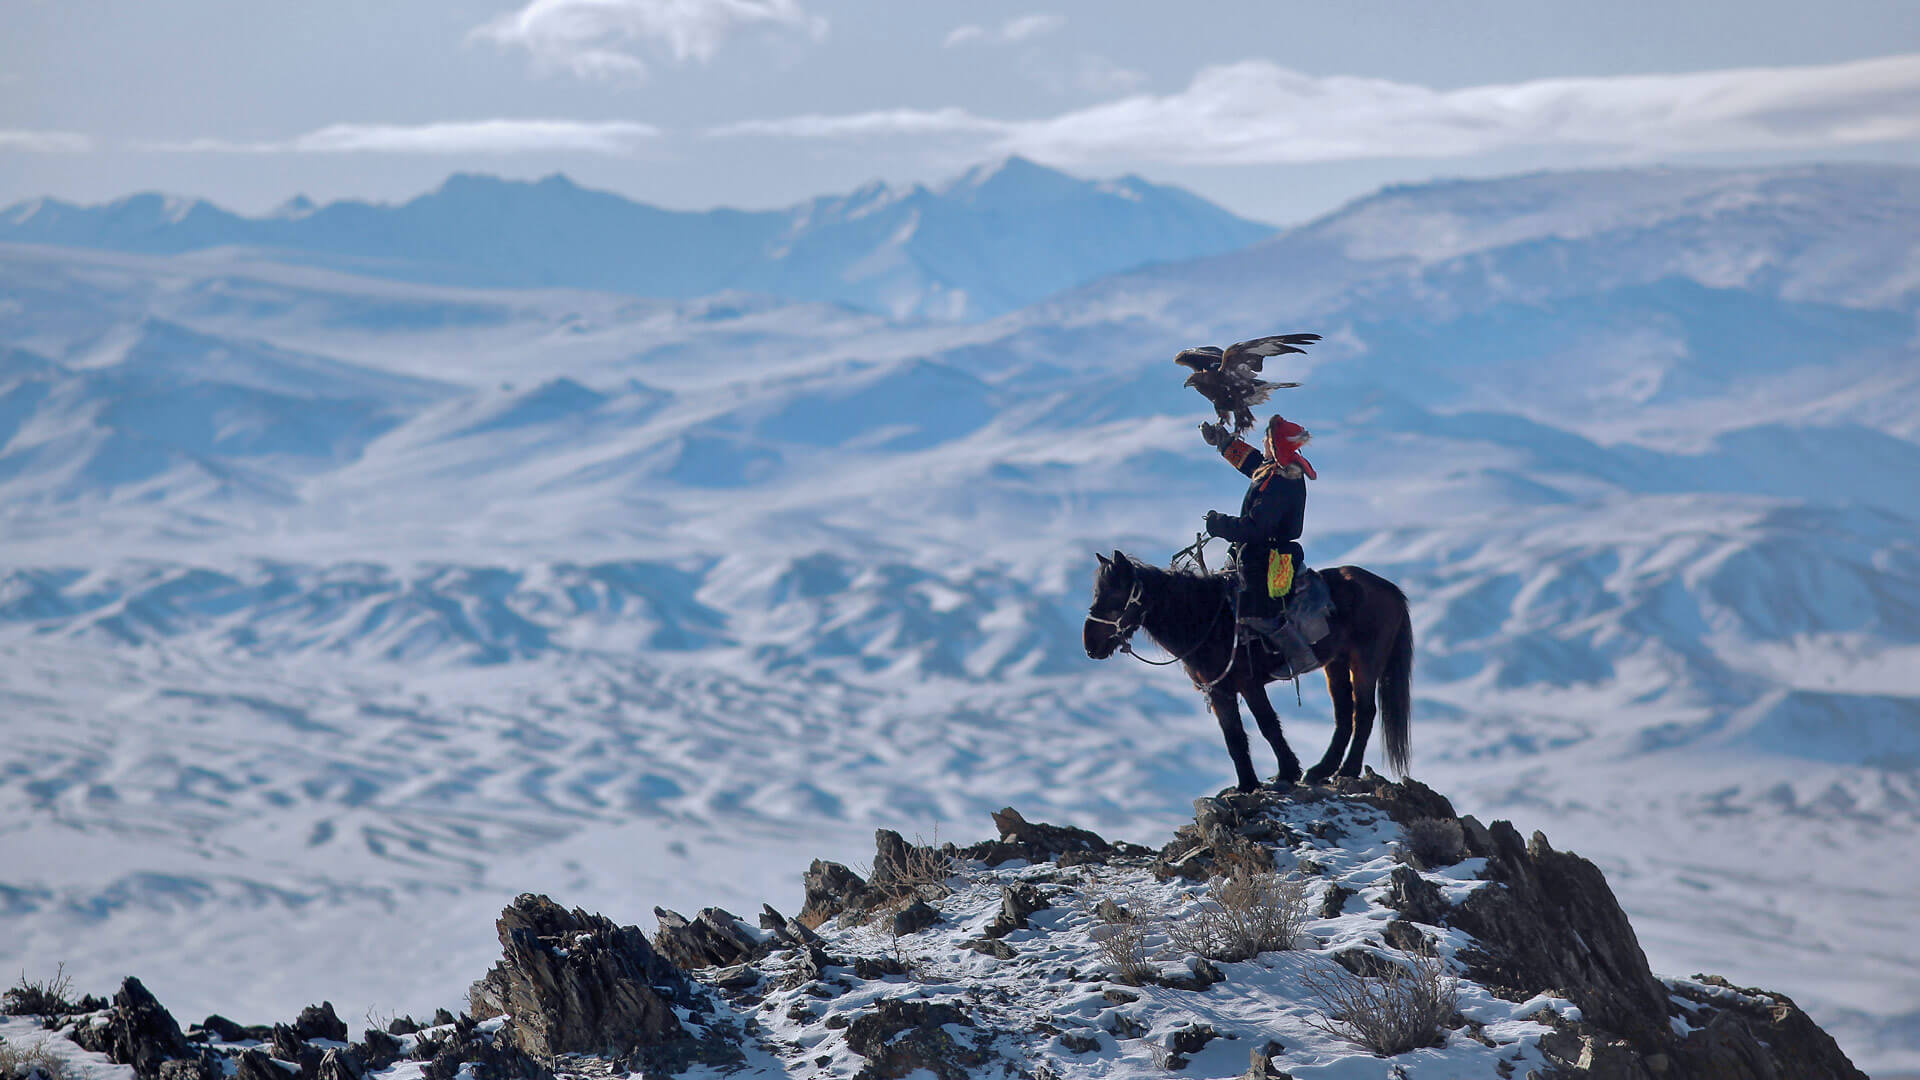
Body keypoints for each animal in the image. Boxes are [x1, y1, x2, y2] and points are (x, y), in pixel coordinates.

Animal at [1090, 545, 1420, 791]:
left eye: (1114, 596)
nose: (1090, 645)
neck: (1205, 617)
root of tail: (1389, 589)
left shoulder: (1248, 683)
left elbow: (1267, 725)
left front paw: (1286, 771)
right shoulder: (1219, 690)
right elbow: (1234, 736)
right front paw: (1247, 784)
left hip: (1365, 659)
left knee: (1363, 712)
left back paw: (1347, 771)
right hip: (1336, 663)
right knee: (1344, 714)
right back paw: (1320, 770)